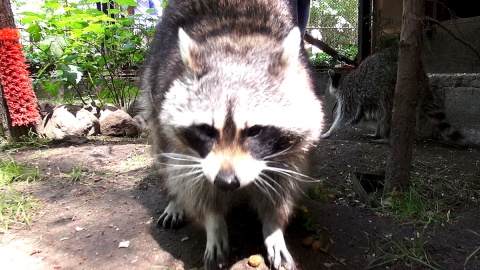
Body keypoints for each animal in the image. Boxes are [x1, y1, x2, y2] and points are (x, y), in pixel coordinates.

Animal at [140, 1, 326, 268]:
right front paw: (213, 222)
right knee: (164, 152)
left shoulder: (293, 150)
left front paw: (274, 226)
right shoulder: (188, 151)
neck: (238, 40)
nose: (226, 182)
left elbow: (283, 184)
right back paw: (175, 199)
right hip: (153, 88)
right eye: (207, 130)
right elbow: (193, 183)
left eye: (255, 131)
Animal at [318, 48, 464, 146]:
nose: (328, 88)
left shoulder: (349, 95)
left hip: (393, 86)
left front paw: (330, 131)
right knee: (384, 112)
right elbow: (366, 114)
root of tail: (421, 74)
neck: (345, 77)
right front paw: (376, 130)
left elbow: (348, 116)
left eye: (330, 82)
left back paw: (387, 137)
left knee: (389, 111)